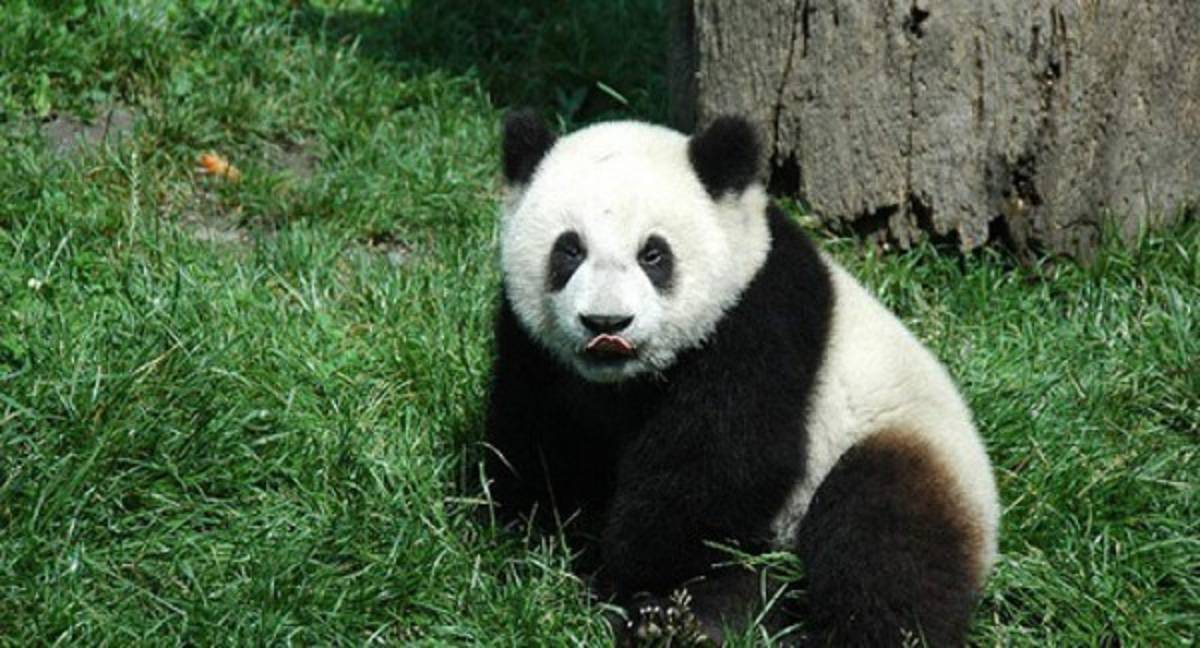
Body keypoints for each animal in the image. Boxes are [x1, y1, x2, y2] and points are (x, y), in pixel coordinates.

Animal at [484, 110, 1000, 646]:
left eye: (653, 254)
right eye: (569, 250)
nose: (606, 323)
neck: (625, 380)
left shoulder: (757, 322)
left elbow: (718, 464)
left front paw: (630, 577)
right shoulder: (534, 350)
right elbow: (535, 439)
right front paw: (534, 542)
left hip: (901, 441)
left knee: (883, 542)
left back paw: (691, 622)